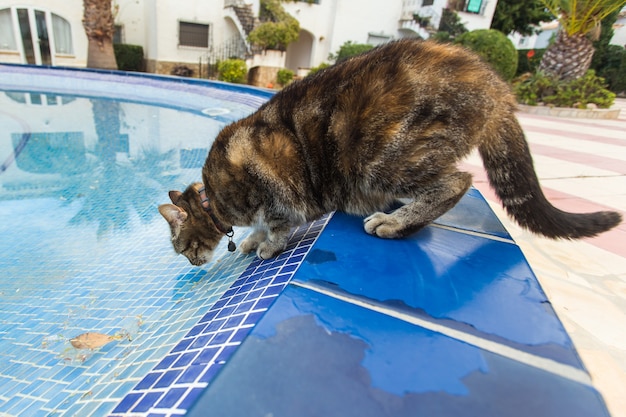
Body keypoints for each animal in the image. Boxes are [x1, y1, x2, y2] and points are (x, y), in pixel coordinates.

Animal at [160, 39, 620, 266]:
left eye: (180, 248)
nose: (191, 265)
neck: (215, 199)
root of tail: (496, 85)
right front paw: (253, 238)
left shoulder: (277, 191)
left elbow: (278, 225)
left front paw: (265, 244)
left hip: (380, 158)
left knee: (457, 182)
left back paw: (395, 222)